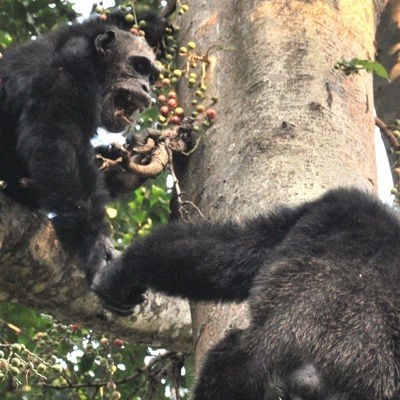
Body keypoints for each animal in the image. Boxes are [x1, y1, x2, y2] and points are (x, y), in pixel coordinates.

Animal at [0, 14, 162, 278]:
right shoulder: (71, 66)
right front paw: (94, 243)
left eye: (152, 77)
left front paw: (134, 163)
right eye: (139, 67)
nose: (147, 87)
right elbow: (57, 139)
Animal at [93, 188, 400, 400]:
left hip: (241, 373)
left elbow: (229, 250)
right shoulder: (339, 203)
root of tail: (311, 379)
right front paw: (123, 273)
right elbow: (227, 250)